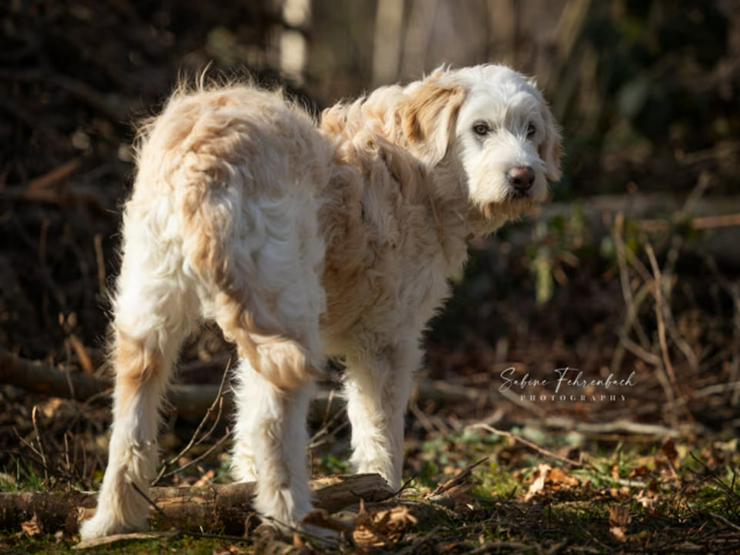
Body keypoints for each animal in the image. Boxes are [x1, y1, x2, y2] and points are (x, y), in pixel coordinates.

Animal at [79, 64, 560, 540]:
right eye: (480, 128)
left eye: (531, 129)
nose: (524, 177)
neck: (414, 166)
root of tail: (205, 158)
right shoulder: (385, 340)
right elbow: (380, 426)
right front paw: (386, 494)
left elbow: (244, 408)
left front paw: (244, 483)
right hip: (288, 311)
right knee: (273, 422)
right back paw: (294, 519)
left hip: (153, 311)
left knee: (132, 415)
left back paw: (114, 520)